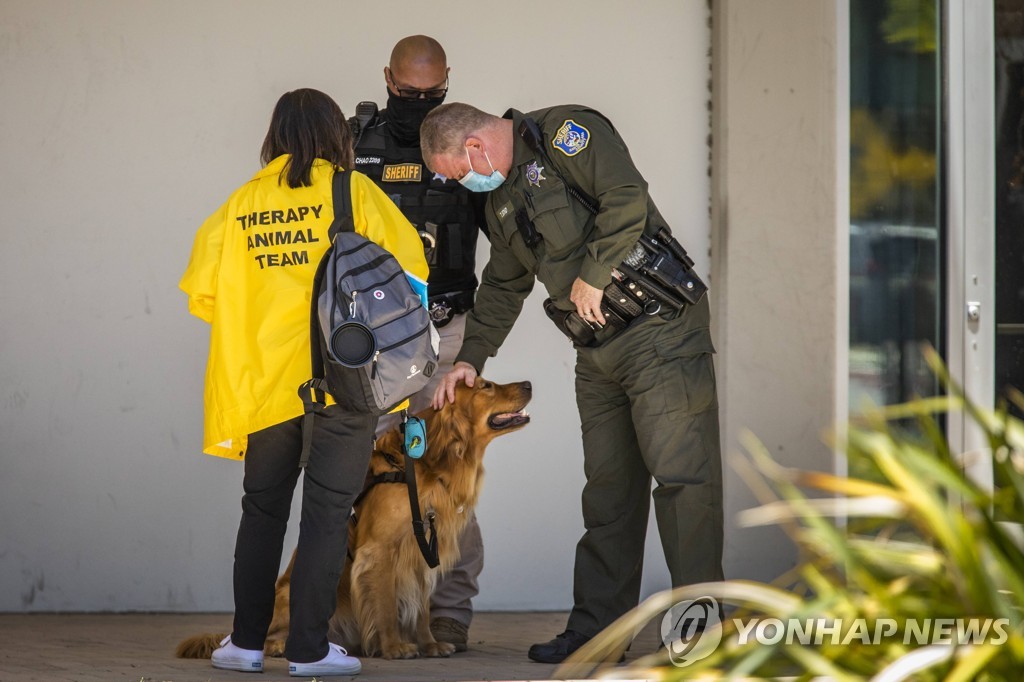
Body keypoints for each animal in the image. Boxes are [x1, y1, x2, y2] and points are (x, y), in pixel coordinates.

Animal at [177, 376, 532, 659]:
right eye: (485, 386)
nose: (529, 384)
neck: (422, 467)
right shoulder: (380, 551)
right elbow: (386, 604)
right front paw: (395, 647)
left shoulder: (420, 550)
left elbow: (422, 609)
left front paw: (429, 644)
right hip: (292, 596)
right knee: (267, 634)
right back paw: (279, 646)